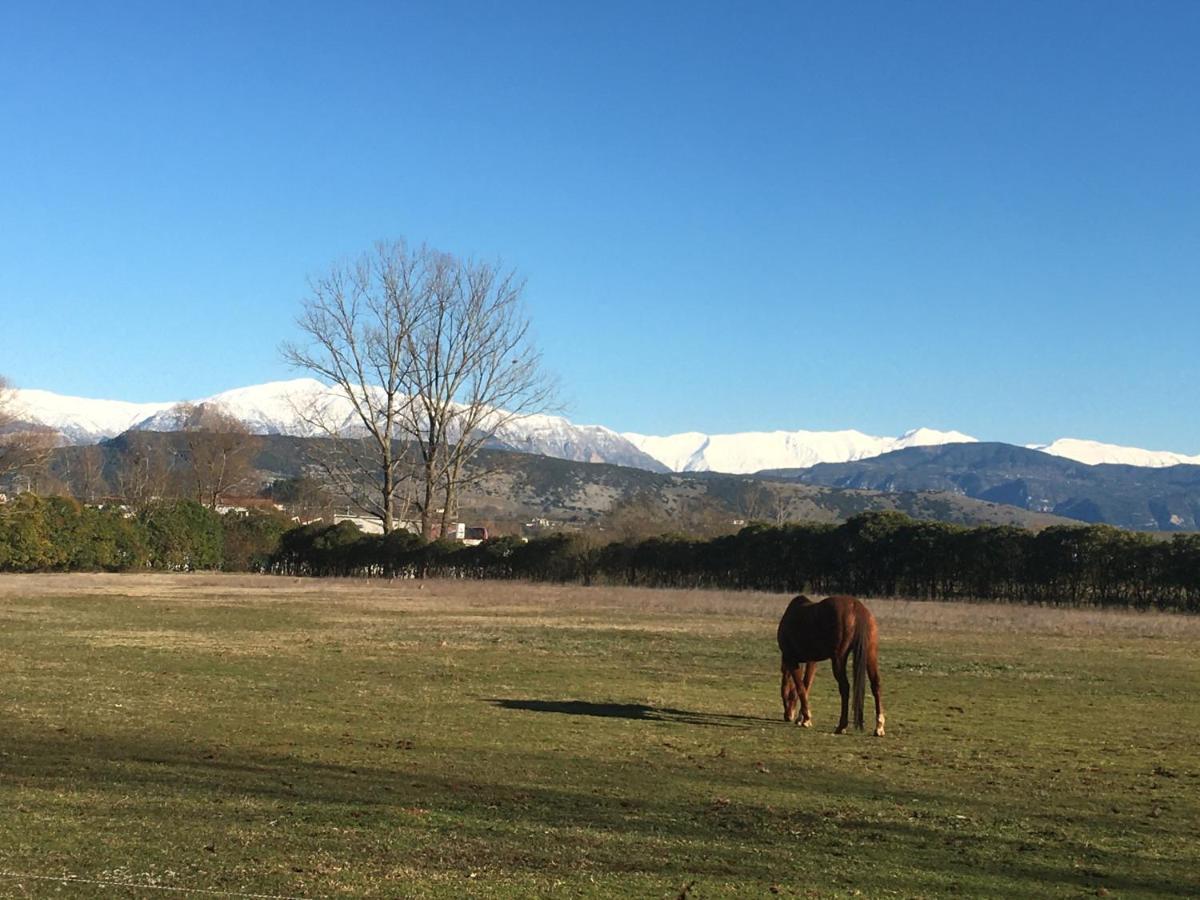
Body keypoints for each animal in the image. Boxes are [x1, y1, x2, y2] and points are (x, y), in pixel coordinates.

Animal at [777, 595, 883, 734]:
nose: (787, 716)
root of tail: (858, 608)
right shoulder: (812, 661)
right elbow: (806, 686)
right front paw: (802, 718)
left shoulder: (792, 660)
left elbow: (800, 687)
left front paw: (806, 718)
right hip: (870, 654)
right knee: (876, 684)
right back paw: (879, 727)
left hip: (838, 658)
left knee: (845, 687)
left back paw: (842, 726)